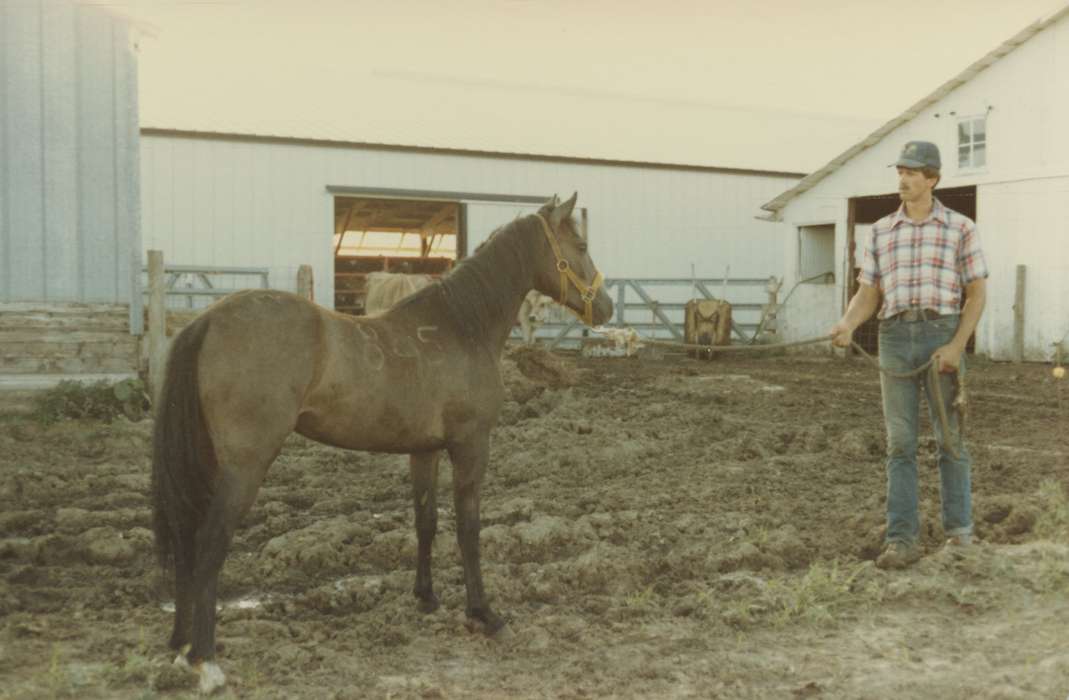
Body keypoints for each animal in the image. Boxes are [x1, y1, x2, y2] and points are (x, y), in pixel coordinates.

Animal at [153, 193, 615, 696]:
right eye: (582, 244)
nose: (606, 307)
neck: (459, 327)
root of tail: (207, 321)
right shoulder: (471, 445)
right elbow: (468, 529)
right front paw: (484, 614)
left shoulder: (424, 449)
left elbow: (426, 522)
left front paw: (426, 597)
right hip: (244, 466)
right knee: (208, 541)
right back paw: (205, 661)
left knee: (185, 537)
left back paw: (179, 648)